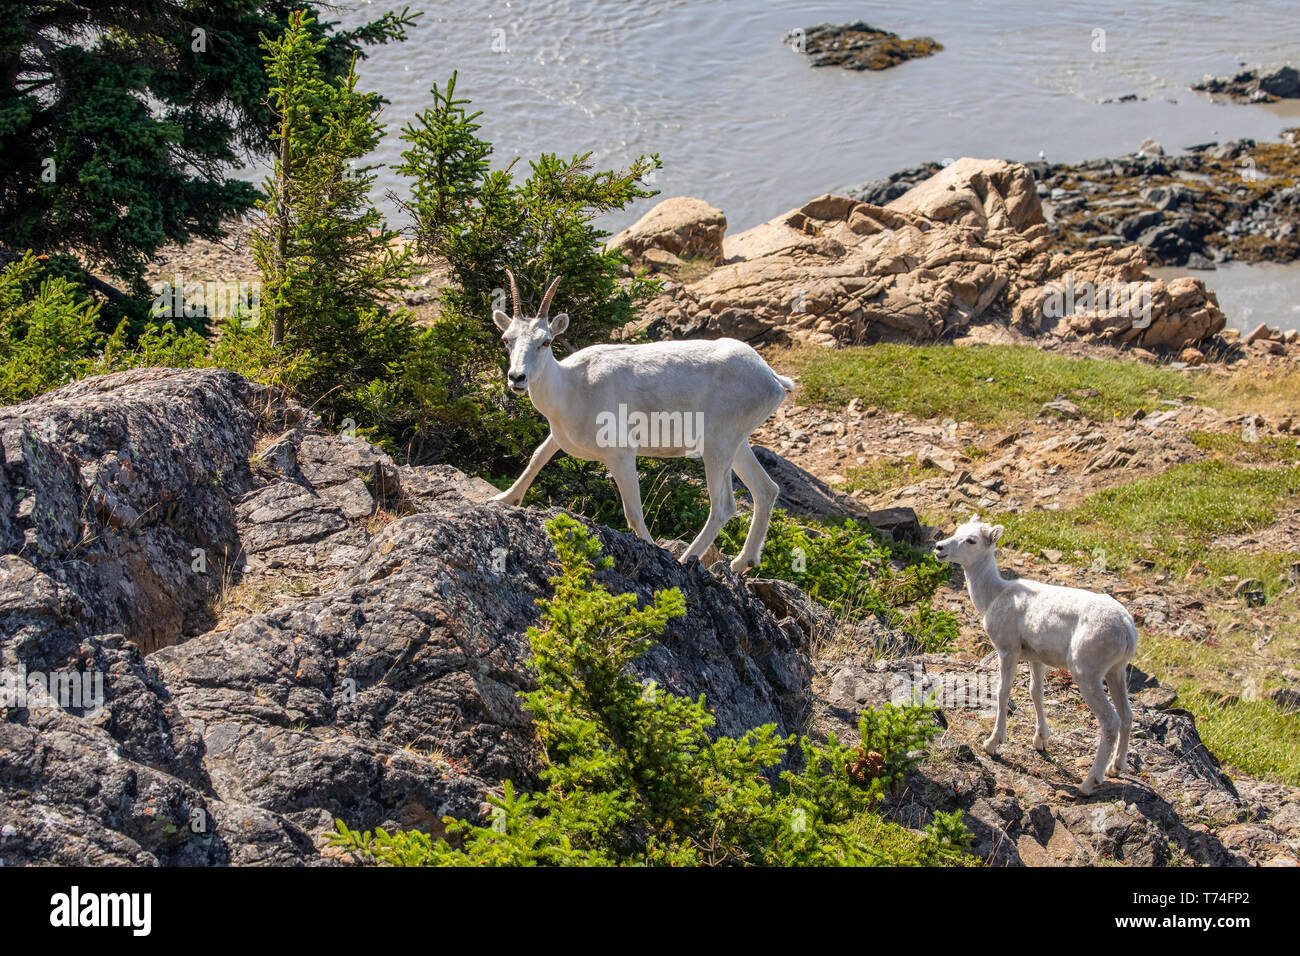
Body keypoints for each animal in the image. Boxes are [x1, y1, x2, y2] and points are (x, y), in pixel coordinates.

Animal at [488, 269, 790, 572]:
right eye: (506, 339)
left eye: (546, 341)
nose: (517, 378)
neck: (571, 386)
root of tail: (774, 381)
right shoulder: (559, 437)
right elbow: (537, 456)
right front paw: (502, 499)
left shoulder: (621, 453)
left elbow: (633, 511)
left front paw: (651, 547)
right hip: (737, 444)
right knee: (766, 490)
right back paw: (741, 563)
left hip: (718, 446)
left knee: (724, 506)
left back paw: (685, 559)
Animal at [935, 515, 1138, 790]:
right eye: (958, 530)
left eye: (971, 540)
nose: (939, 548)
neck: (993, 596)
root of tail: (1127, 630)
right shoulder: (1037, 659)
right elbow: (1036, 693)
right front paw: (1040, 740)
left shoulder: (1008, 650)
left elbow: (1003, 691)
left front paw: (992, 743)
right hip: (1116, 671)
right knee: (1127, 716)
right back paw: (1116, 767)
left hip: (1087, 674)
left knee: (1111, 722)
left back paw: (1089, 783)